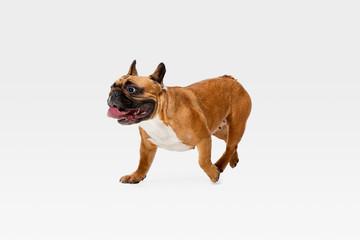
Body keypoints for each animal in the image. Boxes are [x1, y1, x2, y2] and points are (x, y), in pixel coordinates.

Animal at [108, 61, 252, 183]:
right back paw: (232, 160)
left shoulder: (204, 138)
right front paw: (136, 176)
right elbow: (143, 163)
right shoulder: (147, 145)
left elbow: (203, 161)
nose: (113, 94)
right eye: (111, 86)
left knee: (230, 145)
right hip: (218, 129)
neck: (159, 116)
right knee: (231, 143)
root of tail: (231, 79)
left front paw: (213, 174)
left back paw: (220, 165)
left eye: (131, 89)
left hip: (236, 125)